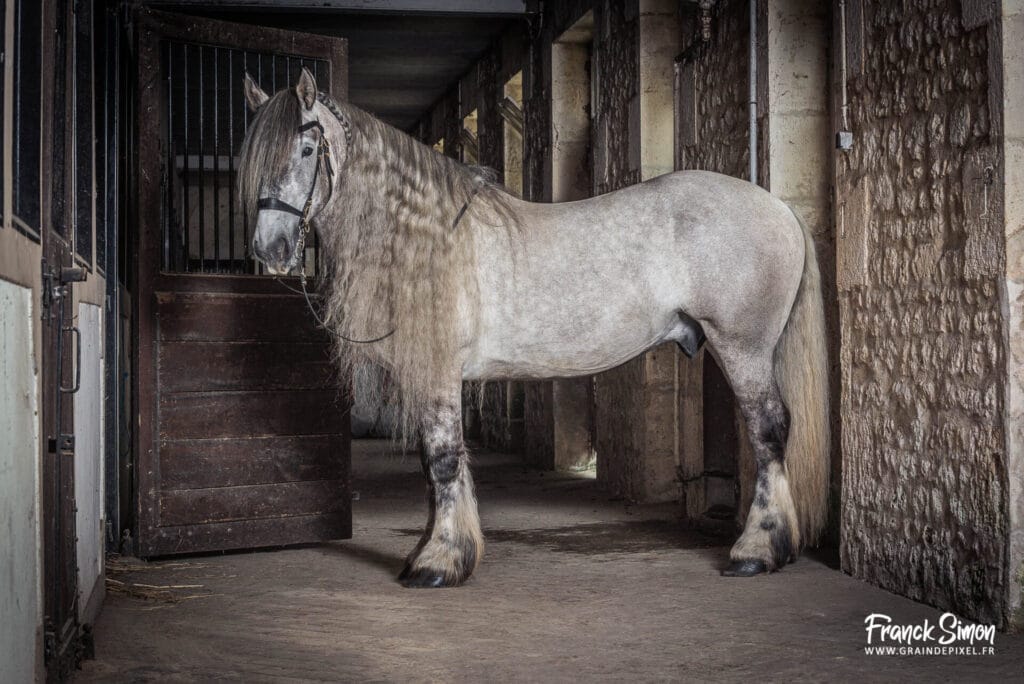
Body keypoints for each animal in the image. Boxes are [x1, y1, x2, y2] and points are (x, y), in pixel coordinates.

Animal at [238, 68, 830, 588]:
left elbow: (443, 459)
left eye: (307, 150)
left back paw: (756, 550)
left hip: (743, 348)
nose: (271, 249)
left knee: (769, 431)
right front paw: (439, 551)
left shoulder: (438, 372)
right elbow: (436, 468)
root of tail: (780, 209)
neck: (424, 237)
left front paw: (438, 561)